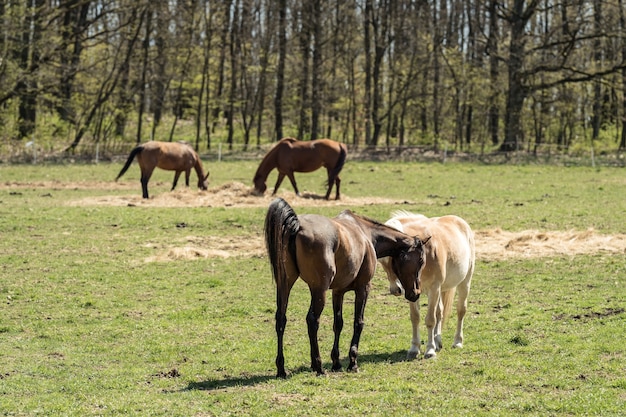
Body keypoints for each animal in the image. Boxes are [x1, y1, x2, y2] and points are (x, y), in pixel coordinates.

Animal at [264, 196, 428, 376]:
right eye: (421, 260)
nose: (416, 293)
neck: (366, 234)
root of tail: (297, 226)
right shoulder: (363, 288)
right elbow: (358, 322)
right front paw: (352, 362)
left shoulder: (338, 292)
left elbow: (338, 323)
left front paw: (336, 362)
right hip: (319, 291)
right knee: (312, 320)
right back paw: (318, 366)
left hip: (285, 285)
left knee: (281, 319)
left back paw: (282, 369)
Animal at [378, 211, 476, 358]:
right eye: (382, 262)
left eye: (398, 260)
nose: (396, 290)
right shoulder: (413, 292)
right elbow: (415, 317)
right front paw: (414, 348)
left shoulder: (433, 288)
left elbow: (430, 319)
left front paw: (430, 350)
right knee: (440, 311)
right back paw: (438, 341)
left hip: (464, 282)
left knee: (461, 310)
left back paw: (457, 342)